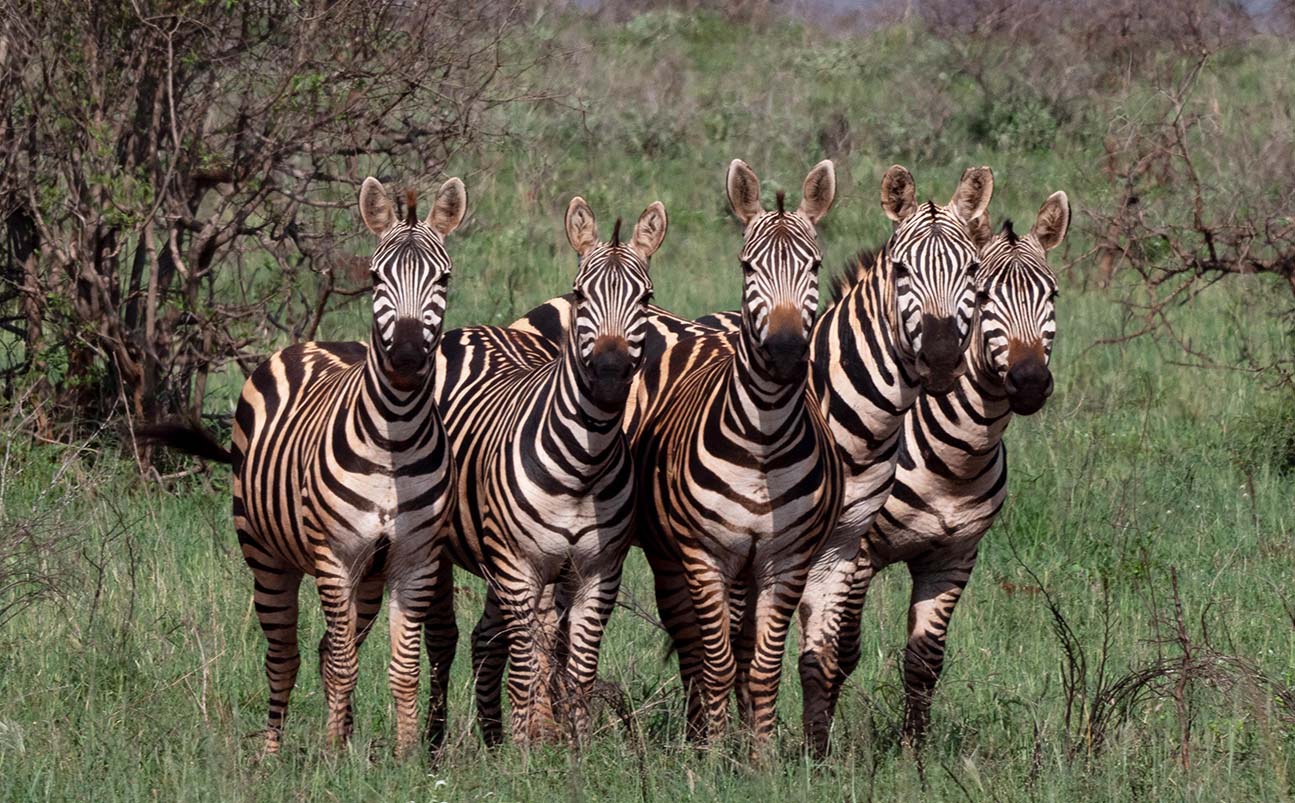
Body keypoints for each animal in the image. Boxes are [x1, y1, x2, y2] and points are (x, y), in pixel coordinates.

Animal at [139, 177, 463, 761]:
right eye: (376, 276)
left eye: (443, 278)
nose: (406, 359)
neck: (397, 437)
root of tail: (311, 343)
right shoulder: (335, 557)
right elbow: (343, 663)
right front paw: (333, 756)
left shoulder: (415, 561)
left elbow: (400, 668)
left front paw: (405, 757)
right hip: (267, 557)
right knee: (285, 656)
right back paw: (273, 751)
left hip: (369, 578)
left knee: (324, 648)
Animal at [432, 195, 663, 746]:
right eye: (580, 294)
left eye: (646, 298)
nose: (609, 377)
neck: (584, 465)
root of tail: (474, 330)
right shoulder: (523, 568)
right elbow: (529, 663)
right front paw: (530, 744)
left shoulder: (599, 573)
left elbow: (578, 668)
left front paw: (575, 743)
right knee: (444, 639)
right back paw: (438, 739)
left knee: (486, 638)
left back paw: (492, 736)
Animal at [626, 158, 839, 751]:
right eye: (748, 266)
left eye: (815, 266)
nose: (786, 352)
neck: (763, 442)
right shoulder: (706, 555)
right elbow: (715, 661)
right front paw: (714, 753)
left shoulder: (786, 560)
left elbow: (762, 666)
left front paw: (760, 754)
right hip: (673, 556)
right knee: (693, 646)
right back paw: (701, 731)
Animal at [839, 190, 1072, 746]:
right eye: (983, 296)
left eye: (1052, 295)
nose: (1030, 382)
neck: (957, 461)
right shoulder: (857, 552)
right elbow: (841, 649)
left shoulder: (953, 556)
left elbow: (924, 661)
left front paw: (914, 750)